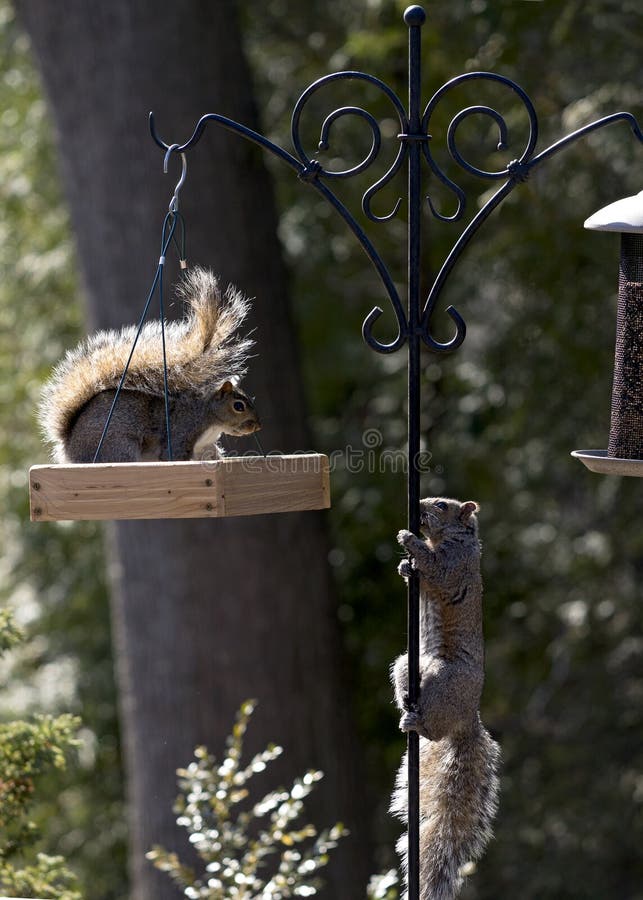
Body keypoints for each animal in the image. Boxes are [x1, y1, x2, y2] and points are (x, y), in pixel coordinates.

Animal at [39, 266, 260, 464]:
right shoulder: (183, 430)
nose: (257, 426)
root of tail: (69, 448)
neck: (209, 415)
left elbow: (210, 454)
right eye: (238, 406)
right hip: (120, 447)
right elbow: (175, 455)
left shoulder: (204, 446)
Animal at [390, 496, 500, 900]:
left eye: (441, 504)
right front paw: (404, 567)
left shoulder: (452, 565)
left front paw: (409, 541)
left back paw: (417, 722)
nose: (418, 508)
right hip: (408, 665)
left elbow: (436, 569)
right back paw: (407, 710)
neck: (453, 539)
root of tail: (469, 716)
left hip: (443, 678)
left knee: (433, 732)